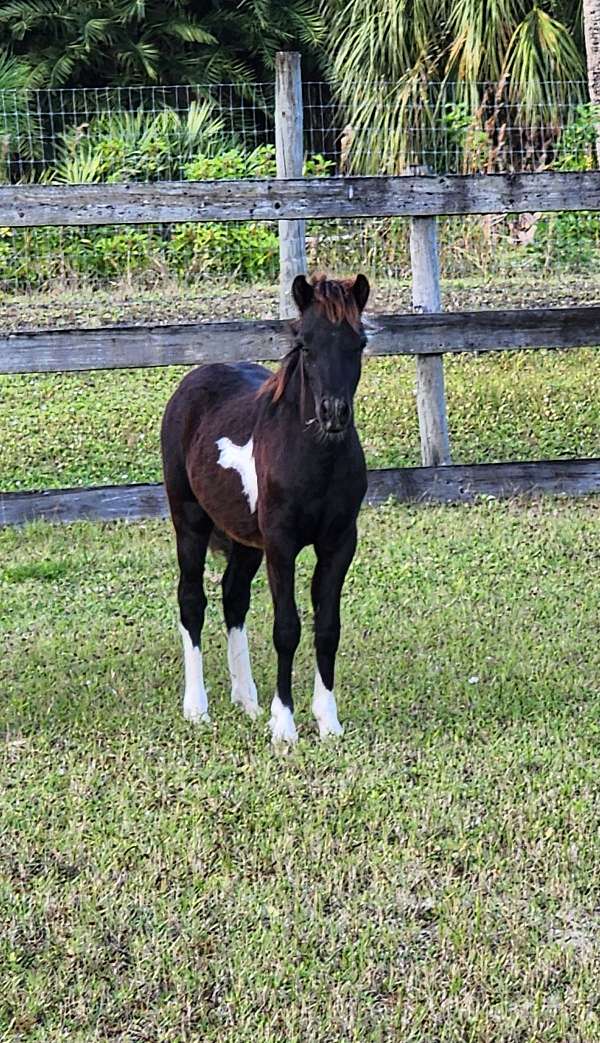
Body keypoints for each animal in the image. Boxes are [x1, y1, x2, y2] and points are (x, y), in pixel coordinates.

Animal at [162, 271, 371, 742]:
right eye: (306, 345)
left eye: (360, 342)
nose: (334, 413)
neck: (313, 459)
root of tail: (192, 383)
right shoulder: (281, 545)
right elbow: (287, 628)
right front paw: (285, 725)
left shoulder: (339, 544)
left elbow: (327, 628)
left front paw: (328, 721)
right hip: (189, 521)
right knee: (192, 601)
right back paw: (196, 708)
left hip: (243, 539)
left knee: (233, 597)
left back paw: (247, 701)